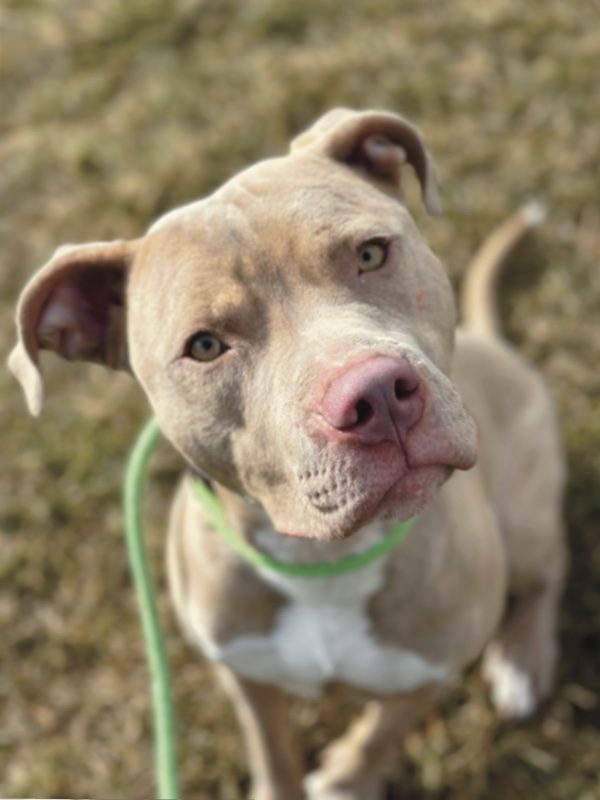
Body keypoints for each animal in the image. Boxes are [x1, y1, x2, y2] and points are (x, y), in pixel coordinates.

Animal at [8, 109, 568, 796]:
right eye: (204, 345)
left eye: (371, 253)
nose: (376, 394)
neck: (325, 562)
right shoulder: (244, 675)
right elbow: (272, 750)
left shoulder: (430, 670)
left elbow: (380, 734)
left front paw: (347, 778)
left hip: (524, 518)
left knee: (549, 569)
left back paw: (521, 660)